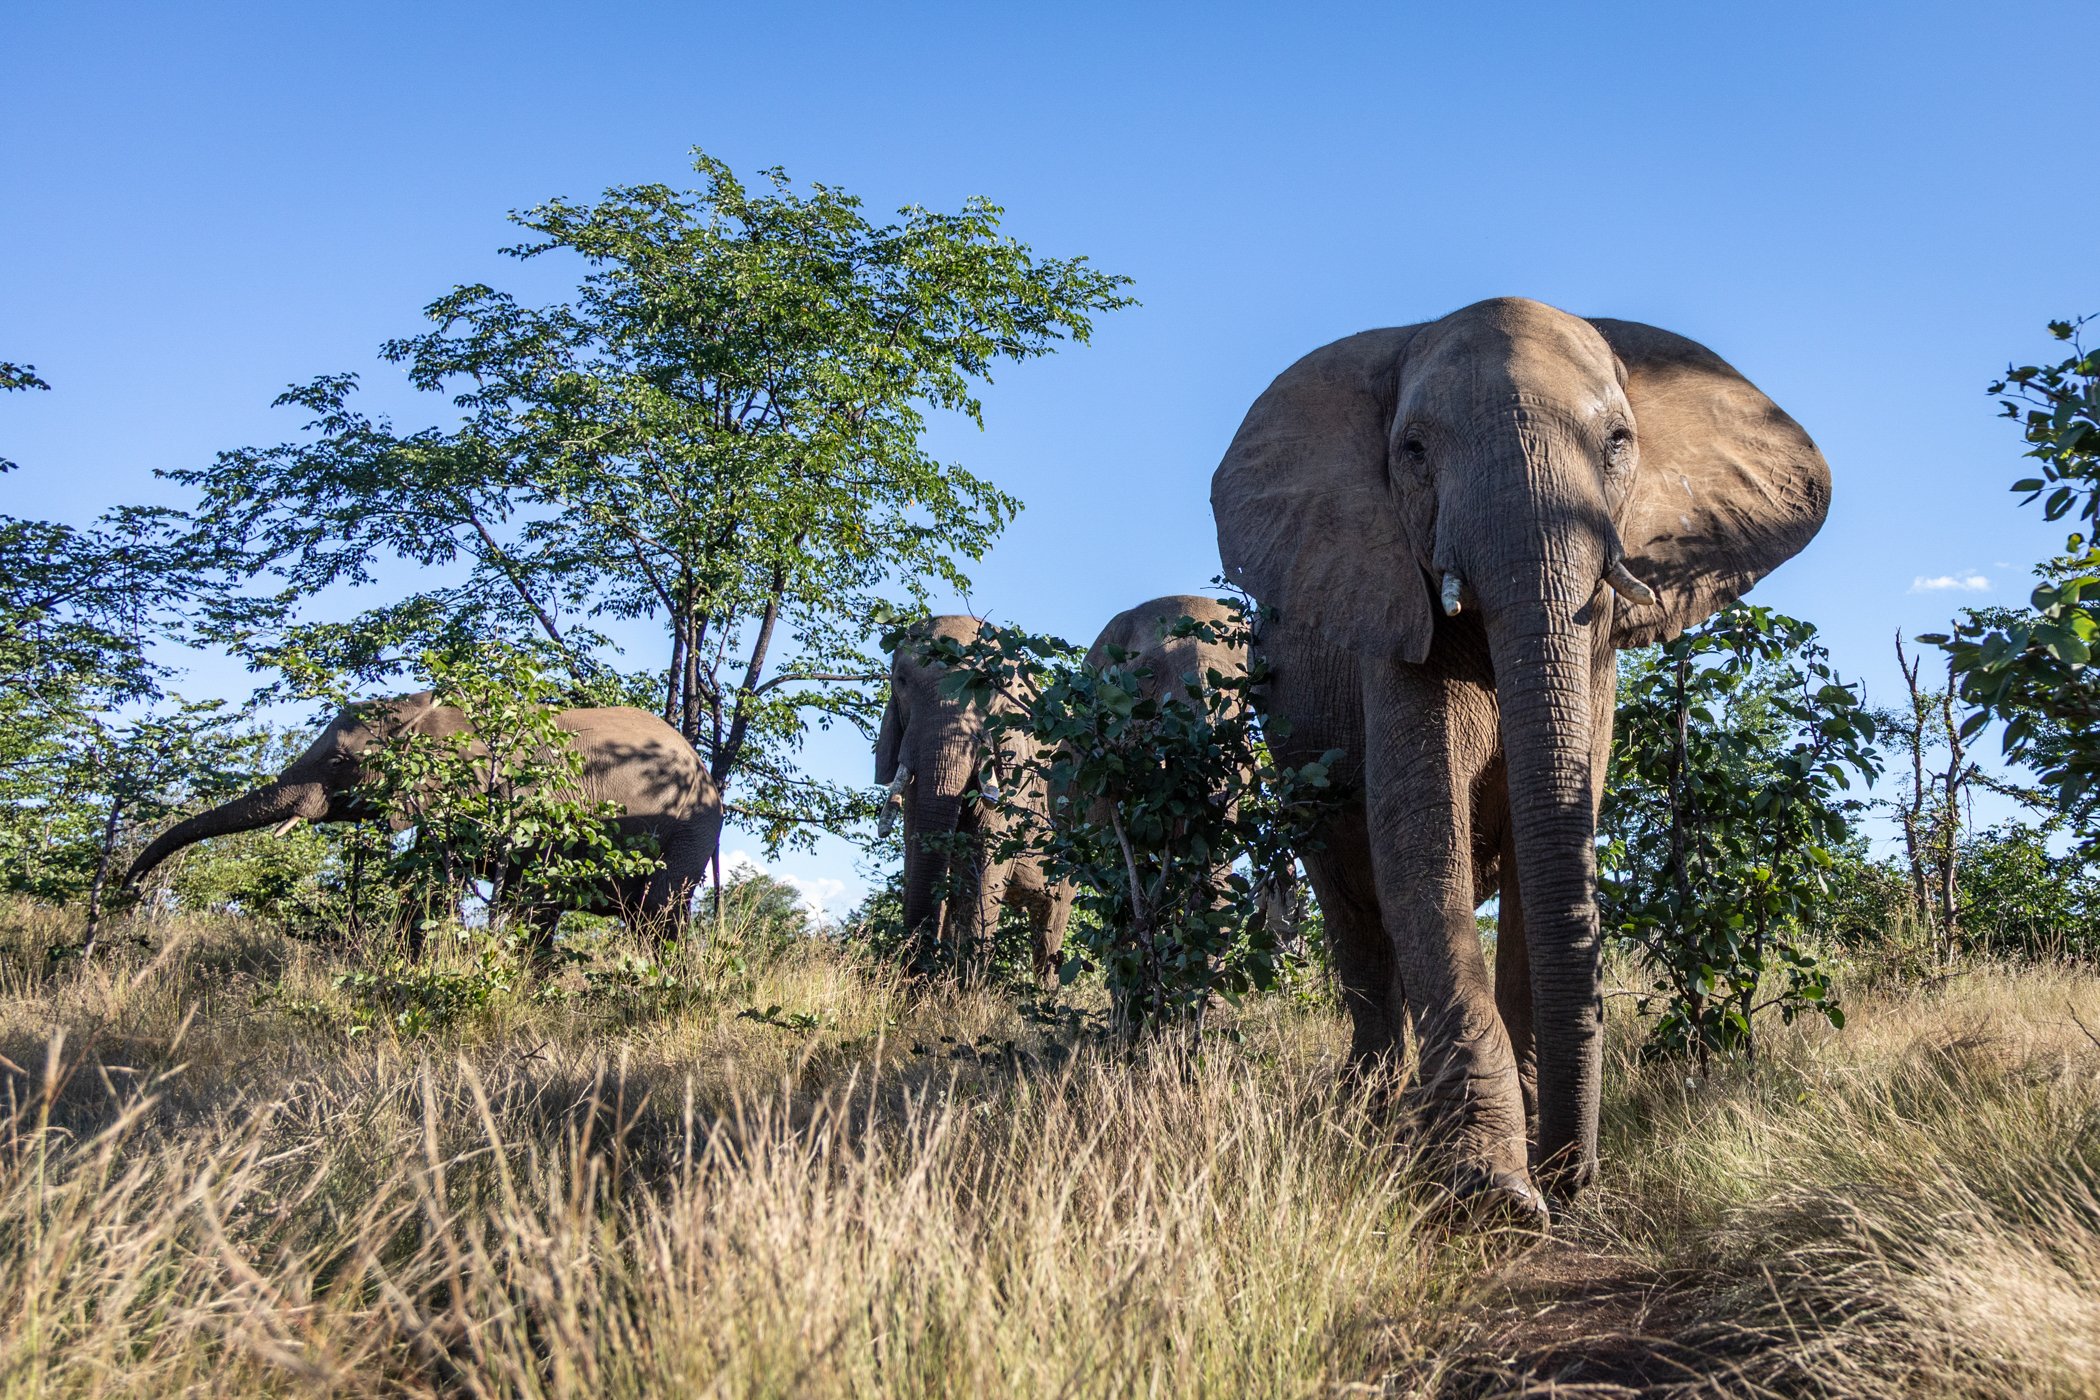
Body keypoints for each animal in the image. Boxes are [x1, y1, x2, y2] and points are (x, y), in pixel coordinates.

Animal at [125, 692, 722, 937]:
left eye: (340, 761)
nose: (126, 893)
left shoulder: (531, 802)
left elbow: (525, 896)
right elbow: (428, 882)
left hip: (690, 831)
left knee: (654, 915)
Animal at [876, 615, 1075, 983]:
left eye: (989, 687)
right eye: (902, 682)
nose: (916, 978)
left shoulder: (1015, 768)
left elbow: (984, 858)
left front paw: (960, 993)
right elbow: (918, 843)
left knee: (1051, 925)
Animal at [1211, 297, 1829, 1214]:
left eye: (1618, 442)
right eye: (1413, 451)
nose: (1577, 1180)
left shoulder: (1599, 647)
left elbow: (1553, 851)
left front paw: (1529, 1168)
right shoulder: (1391, 614)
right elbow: (1422, 845)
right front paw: (1493, 1194)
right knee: (1356, 918)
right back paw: (1369, 1120)